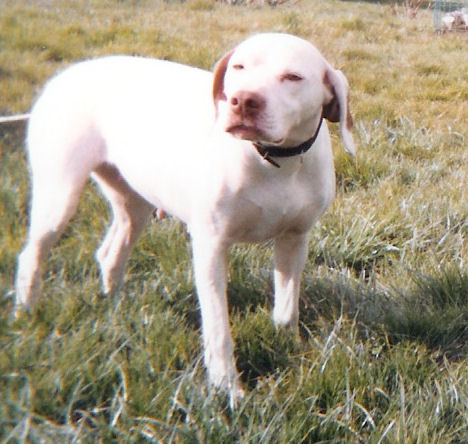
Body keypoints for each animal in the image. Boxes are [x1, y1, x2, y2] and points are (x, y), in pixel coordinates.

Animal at [16, 33, 355, 405]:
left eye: (293, 77)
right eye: (239, 67)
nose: (242, 100)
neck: (272, 161)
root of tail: (65, 74)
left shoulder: (294, 239)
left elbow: (286, 306)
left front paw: (286, 343)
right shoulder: (211, 246)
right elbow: (218, 329)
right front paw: (227, 387)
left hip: (133, 202)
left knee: (110, 251)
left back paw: (114, 303)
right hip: (59, 196)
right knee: (32, 254)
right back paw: (27, 312)